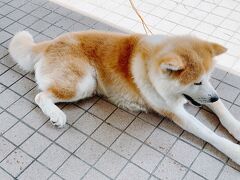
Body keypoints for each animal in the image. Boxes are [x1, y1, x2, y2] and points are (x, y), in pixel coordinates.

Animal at [8, 30, 240, 165]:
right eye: (196, 83)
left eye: (207, 78)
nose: (212, 97)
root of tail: (49, 43)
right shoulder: (175, 112)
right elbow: (210, 135)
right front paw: (235, 151)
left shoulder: (207, 96)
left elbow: (223, 111)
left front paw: (236, 128)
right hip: (83, 83)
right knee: (41, 96)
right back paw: (56, 114)